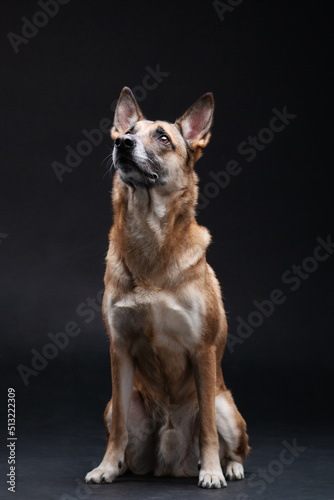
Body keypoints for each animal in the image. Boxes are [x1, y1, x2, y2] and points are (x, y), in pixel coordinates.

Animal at [85, 87, 249, 488]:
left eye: (163, 138)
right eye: (128, 130)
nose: (123, 144)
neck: (151, 240)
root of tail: (169, 464)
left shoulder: (203, 351)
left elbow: (206, 427)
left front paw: (211, 471)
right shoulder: (119, 350)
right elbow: (119, 430)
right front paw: (106, 466)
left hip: (226, 405)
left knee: (234, 443)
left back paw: (229, 467)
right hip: (118, 402)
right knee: (124, 433)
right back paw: (123, 466)